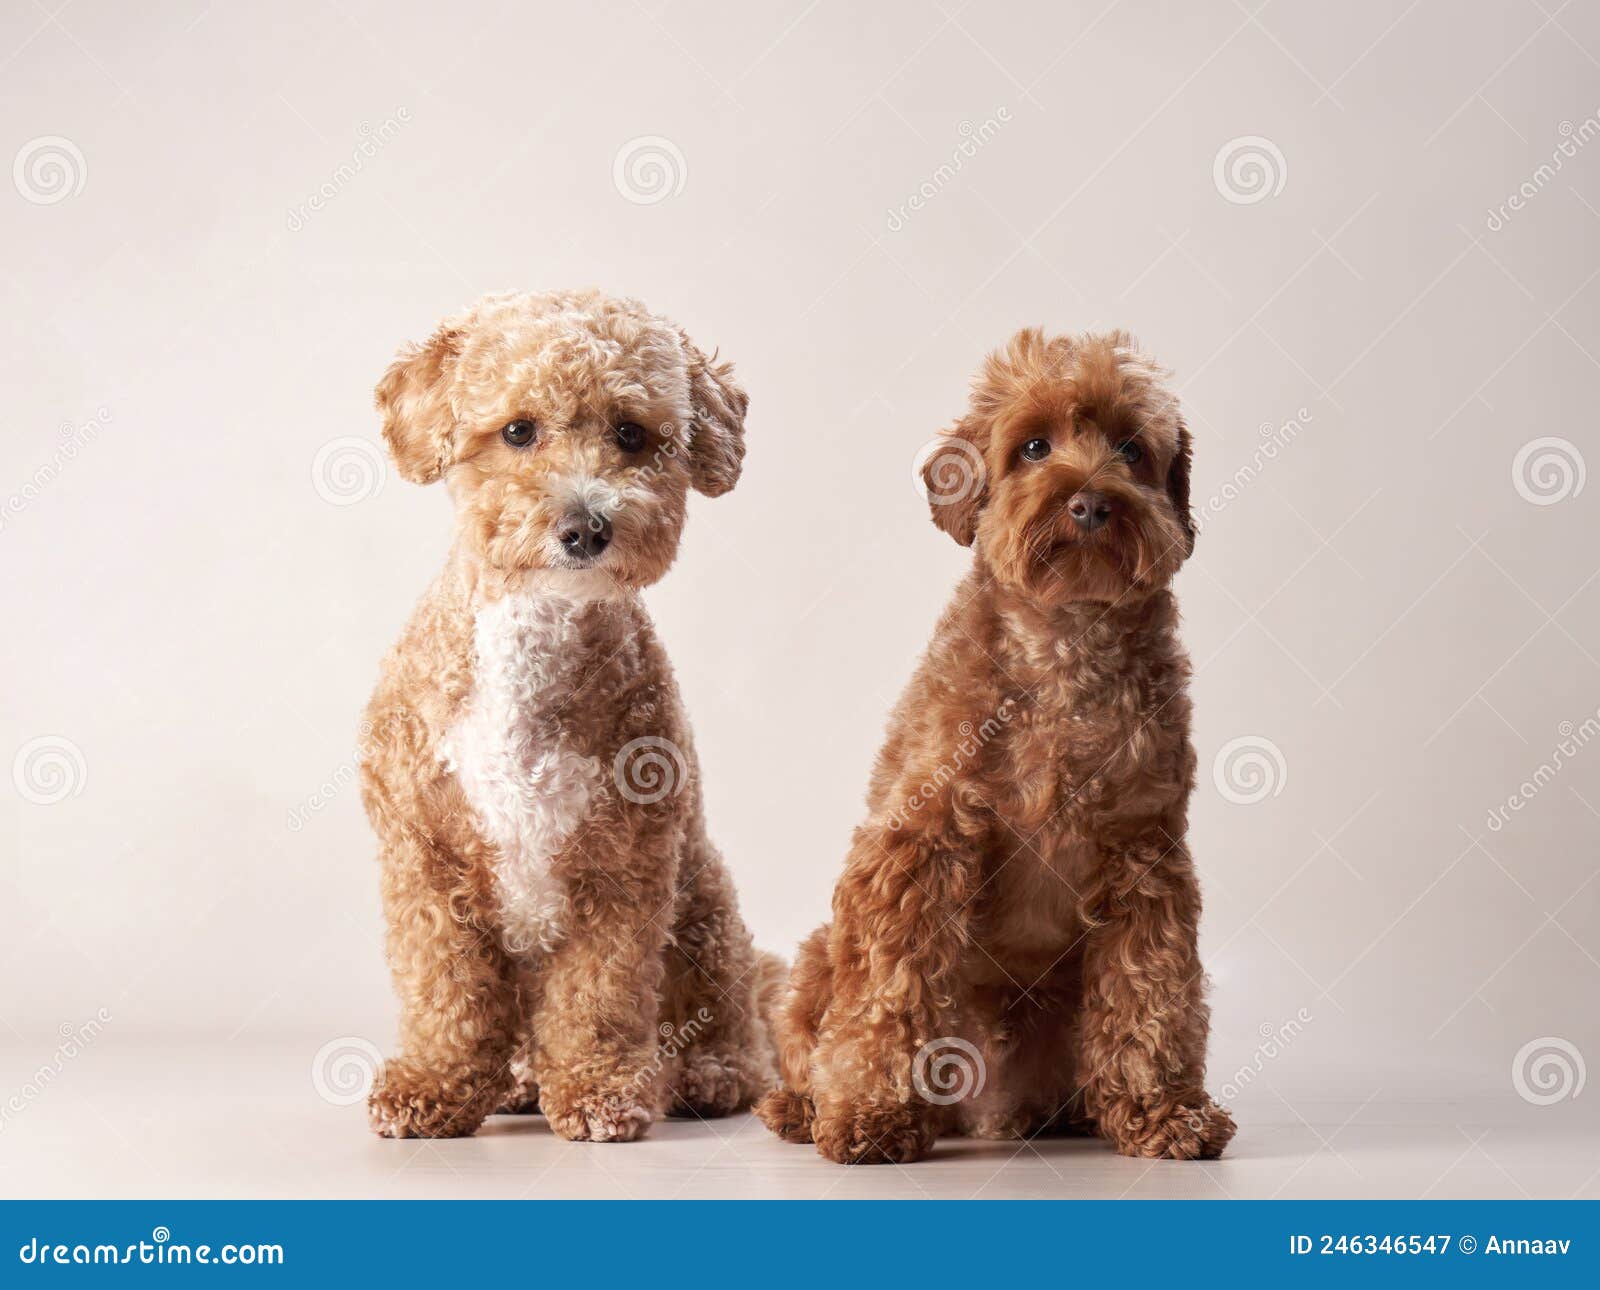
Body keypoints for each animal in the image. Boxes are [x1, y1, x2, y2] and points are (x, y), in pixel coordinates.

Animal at [364, 289, 787, 1139]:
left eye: (631, 433)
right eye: (518, 430)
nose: (587, 525)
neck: (537, 631)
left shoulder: (624, 867)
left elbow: (598, 997)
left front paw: (599, 1090)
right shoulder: (426, 860)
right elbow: (444, 991)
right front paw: (435, 1083)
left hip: (706, 906)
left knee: (732, 1022)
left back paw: (703, 1073)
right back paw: (518, 1082)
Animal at [755, 328, 1228, 1165]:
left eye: (1132, 450)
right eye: (1033, 446)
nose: (1090, 501)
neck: (1066, 638)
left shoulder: (1145, 853)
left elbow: (1151, 991)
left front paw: (1163, 1109)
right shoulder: (918, 842)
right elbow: (888, 994)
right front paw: (874, 1114)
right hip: (816, 956)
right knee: (815, 1035)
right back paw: (803, 1105)